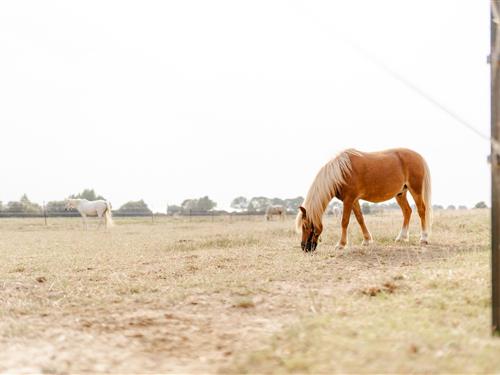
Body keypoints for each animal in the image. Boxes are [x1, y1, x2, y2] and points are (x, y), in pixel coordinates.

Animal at [294, 149, 432, 253]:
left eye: (305, 226)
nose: (304, 247)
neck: (341, 172)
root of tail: (418, 156)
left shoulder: (348, 200)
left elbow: (344, 221)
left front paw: (341, 244)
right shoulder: (354, 200)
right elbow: (360, 219)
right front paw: (366, 240)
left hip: (415, 190)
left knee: (421, 210)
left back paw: (424, 238)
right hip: (400, 193)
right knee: (407, 211)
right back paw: (401, 237)